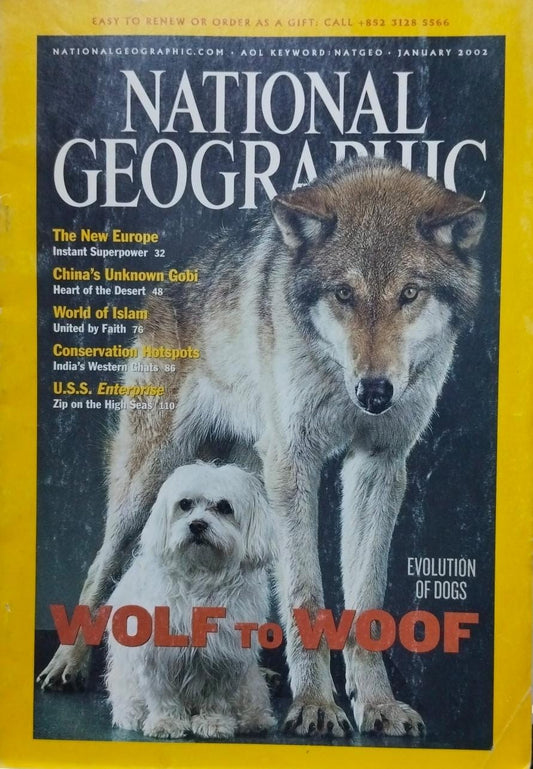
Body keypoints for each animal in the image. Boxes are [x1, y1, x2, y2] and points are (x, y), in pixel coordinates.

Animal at [38, 159, 485, 738]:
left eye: (410, 294)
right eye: (343, 294)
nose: (375, 392)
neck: (336, 375)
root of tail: (168, 284)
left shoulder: (380, 464)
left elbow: (365, 601)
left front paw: (377, 704)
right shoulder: (295, 463)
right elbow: (306, 595)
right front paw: (316, 704)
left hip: (250, 479)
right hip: (149, 481)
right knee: (102, 565)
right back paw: (68, 663)